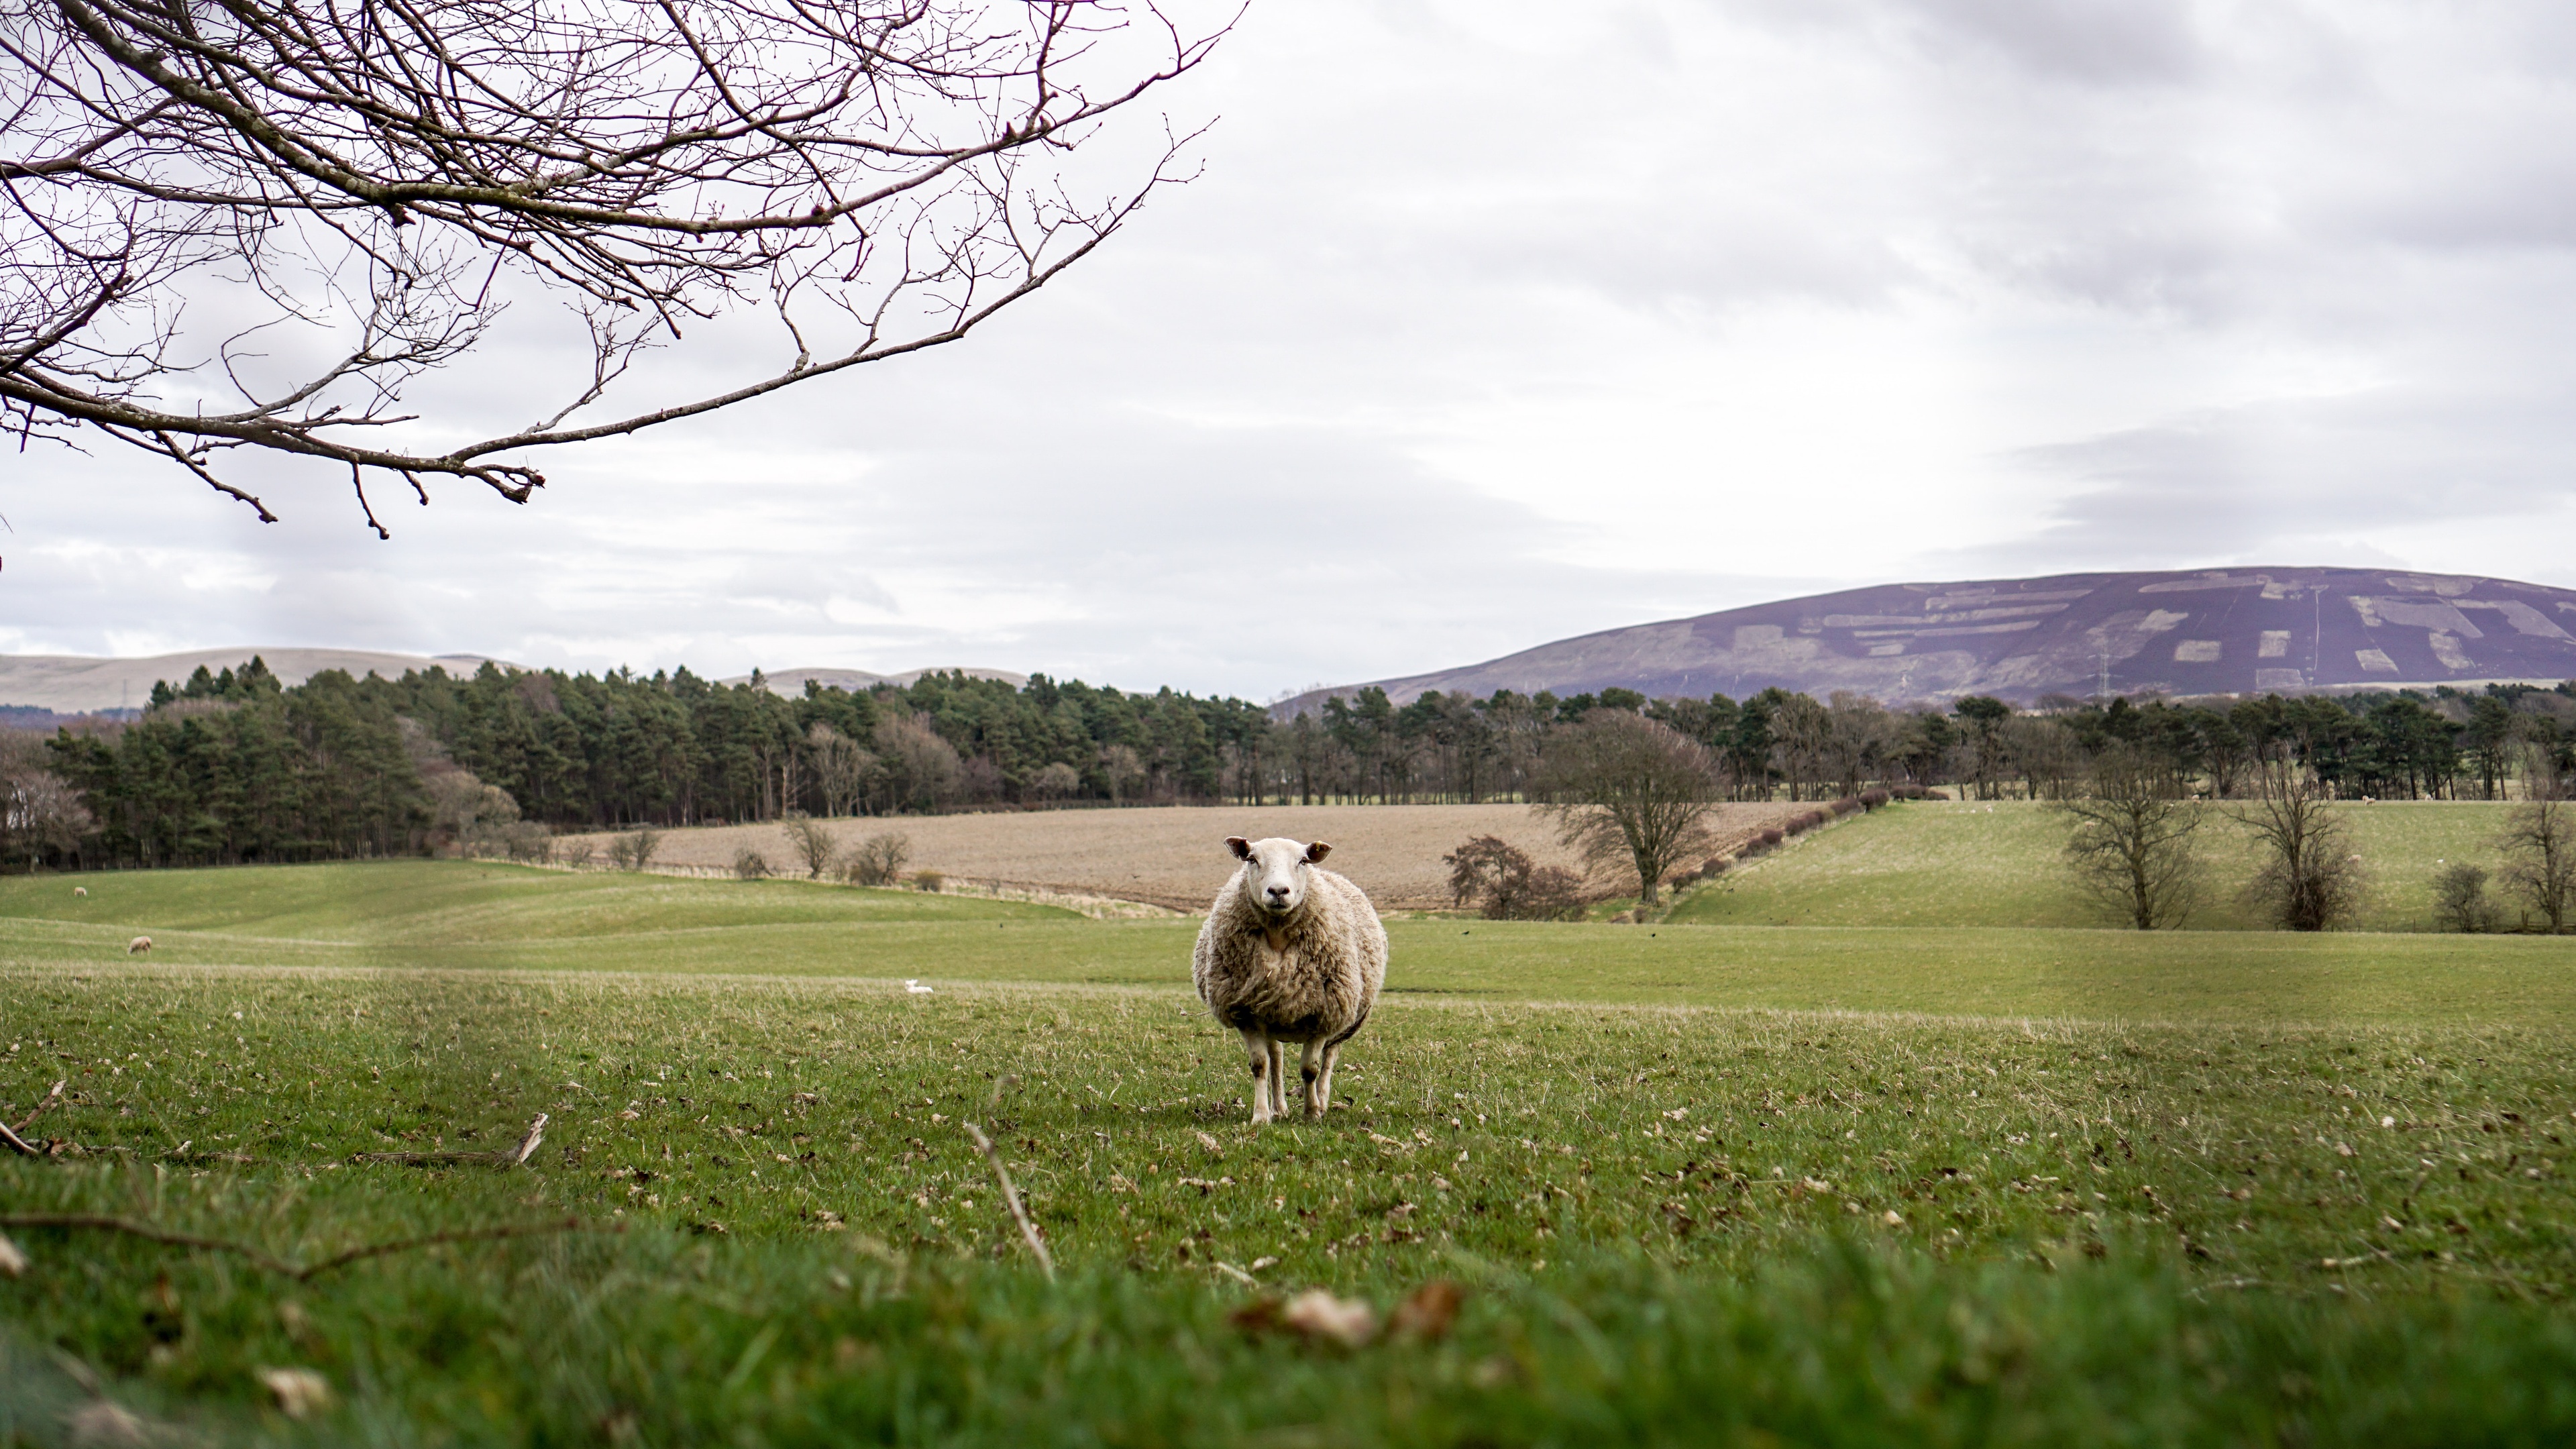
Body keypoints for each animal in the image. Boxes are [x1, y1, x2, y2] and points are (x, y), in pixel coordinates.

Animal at [1190, 830, 1391, 1124]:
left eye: (1303, 861)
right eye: (1252, 859)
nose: (1278, 891)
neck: (1277, 935)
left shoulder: (1323, 1014)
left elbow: (1310, 1069)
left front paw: (1312, 1113)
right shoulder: (1247, 1014)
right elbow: (1260, 1065)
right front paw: (1261, 1116)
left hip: (1343, 1018)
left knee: (1329, 1059)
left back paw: (1323, 1101)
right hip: (1272, 1012)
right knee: (1276, 1058)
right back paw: (1279, 1108)